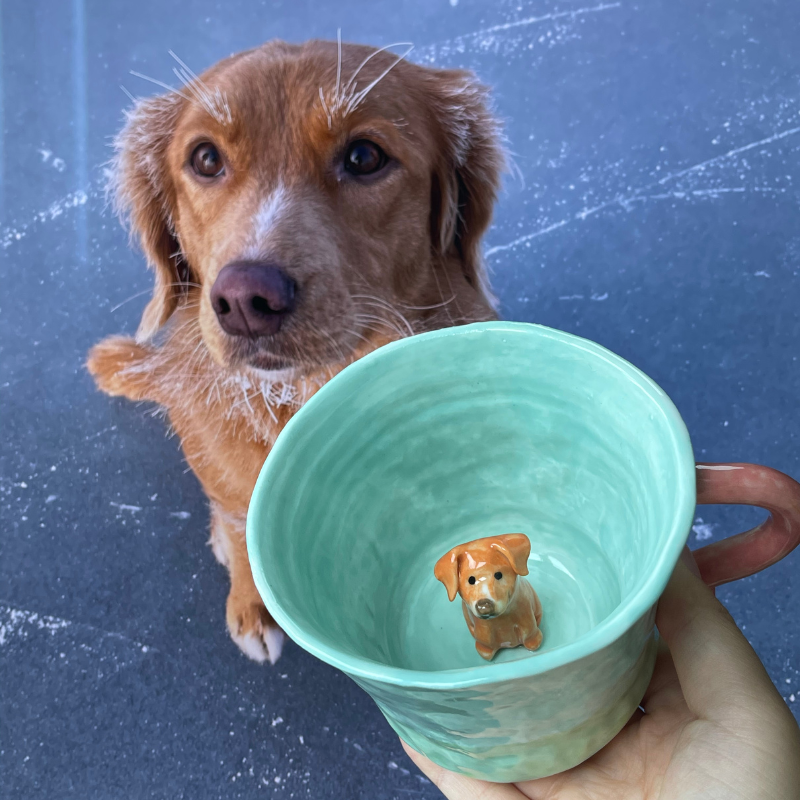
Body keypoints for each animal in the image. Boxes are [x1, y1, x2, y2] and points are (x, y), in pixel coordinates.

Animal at [87, 39, 500, 664]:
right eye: (205, 159)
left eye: (363, 156)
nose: (245, 298)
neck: (305, 393)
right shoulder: (229, 482)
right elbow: (240, 528)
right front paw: (249, 601)